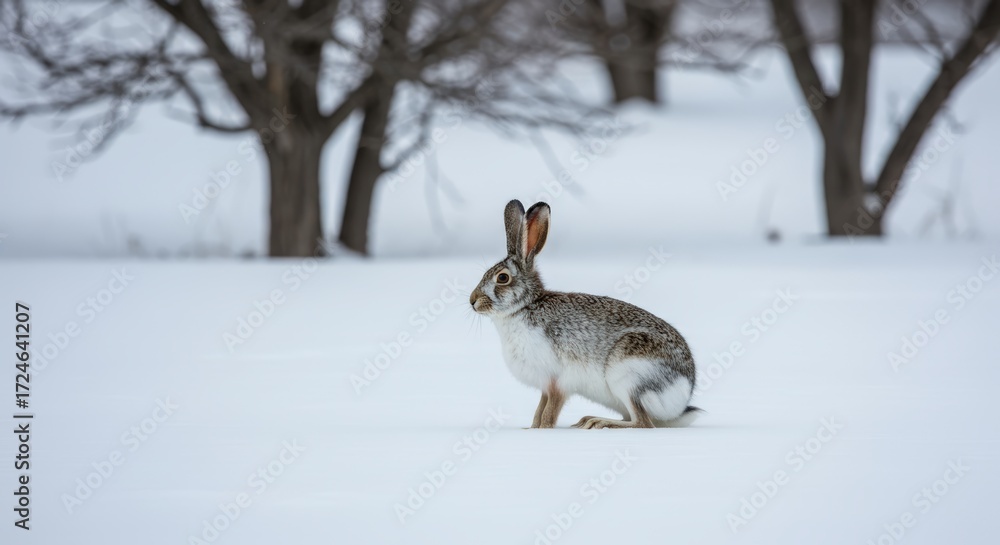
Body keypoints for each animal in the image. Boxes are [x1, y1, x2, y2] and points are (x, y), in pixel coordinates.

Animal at [469, 199, 701, 429]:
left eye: (502, 278)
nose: (472, 301)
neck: (524, 306)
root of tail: (681, 401)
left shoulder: (558, 381)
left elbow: (549, 411)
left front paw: (544, 429)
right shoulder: (545, 385)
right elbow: (540, 408)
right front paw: (532, 428)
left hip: (630, 378)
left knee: (642, 423)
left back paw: (597, 421)